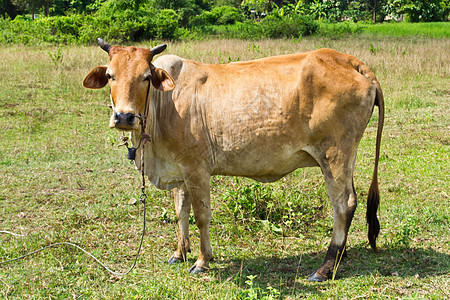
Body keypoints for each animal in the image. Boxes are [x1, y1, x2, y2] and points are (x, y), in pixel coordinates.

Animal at [83, 38, 384, 282]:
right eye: (110, 75)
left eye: (146, 77)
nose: (124, 117)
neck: (164, 103)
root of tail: (351, 62)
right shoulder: (179, 171)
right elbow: (181, 212)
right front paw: (179, 252)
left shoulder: (196, 168)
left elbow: (201, 216)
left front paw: (202, 261)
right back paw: (340, 256)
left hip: (334, 155)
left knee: (344, 204)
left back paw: (326, 267)